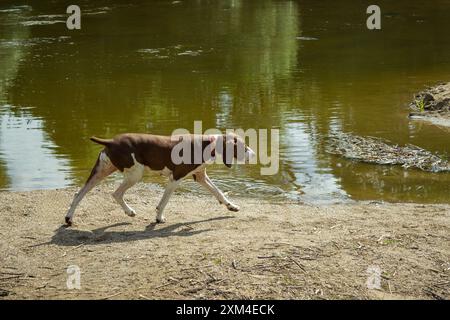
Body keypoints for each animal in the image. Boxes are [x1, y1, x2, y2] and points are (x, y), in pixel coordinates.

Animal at [63, 132, 255, 225]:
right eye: (243, 146)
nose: (253, 154)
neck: (207, 144)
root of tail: (110, 141)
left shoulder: (200, 176)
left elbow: (218, 192)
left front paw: (231, 206)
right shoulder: (176, 178)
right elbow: (163, 202)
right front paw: (159, 218)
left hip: (101, 172)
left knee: (79, 194)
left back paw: (69, 218)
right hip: (135, 174)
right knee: (116, 193)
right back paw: (129, 211)